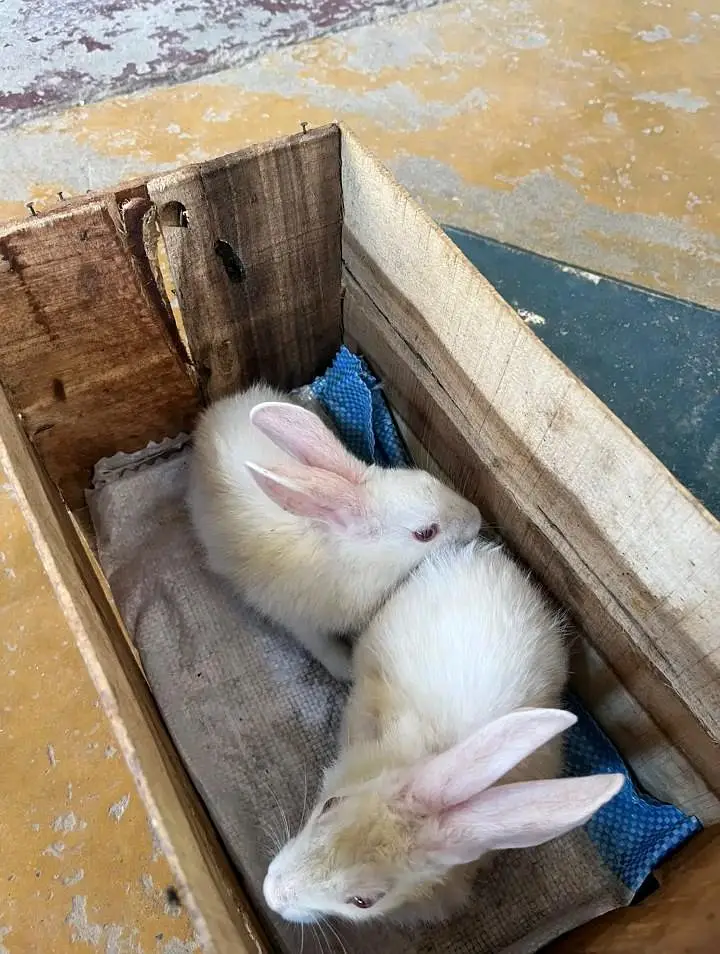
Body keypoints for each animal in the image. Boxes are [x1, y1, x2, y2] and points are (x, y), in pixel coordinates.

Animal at [188, 384, 483, 681]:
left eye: (426, 476)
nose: (477, 518)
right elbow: (323, 648)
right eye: (425, 533)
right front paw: (347, 669)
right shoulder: (301, 621)